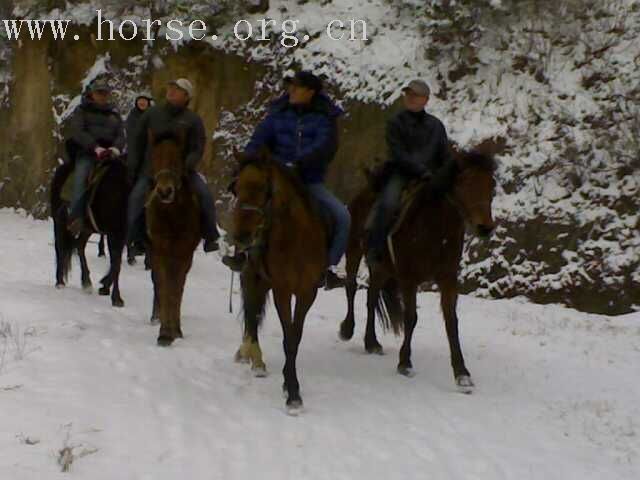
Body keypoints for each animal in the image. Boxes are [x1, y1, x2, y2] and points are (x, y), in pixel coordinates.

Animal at [145, 129, 200, 346]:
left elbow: (176, 290)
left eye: (178, 160)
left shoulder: (183, 255)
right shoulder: (159, 251)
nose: (164, 191)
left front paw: (174, 330)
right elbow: (163, 287)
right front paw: (164, 332)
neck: (172, 216)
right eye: (154, 158)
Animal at [230, 153, 328, 412]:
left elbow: (294, 336)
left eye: (262, 188)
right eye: (236, 187)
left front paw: (289, 385)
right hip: (252, 276)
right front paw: (293, 391)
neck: (296, 239)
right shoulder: (282, 291)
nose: (242, 237)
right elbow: (287, 337)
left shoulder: (307, 292)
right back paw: (254, 358)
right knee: (252, 313)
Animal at [340, 150, 496, 394]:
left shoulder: (448, 279)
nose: (485, 228)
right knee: (351, 286)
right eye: (465, 182)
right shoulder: (408, 278)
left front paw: (462, 374)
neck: (434, 229)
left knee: (371, 296)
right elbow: (411, 317)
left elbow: (451, 321)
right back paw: (347, 329)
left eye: (492, 185)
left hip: (381, 268)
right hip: (354, 251)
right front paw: (405, 363)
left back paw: (371, 342)